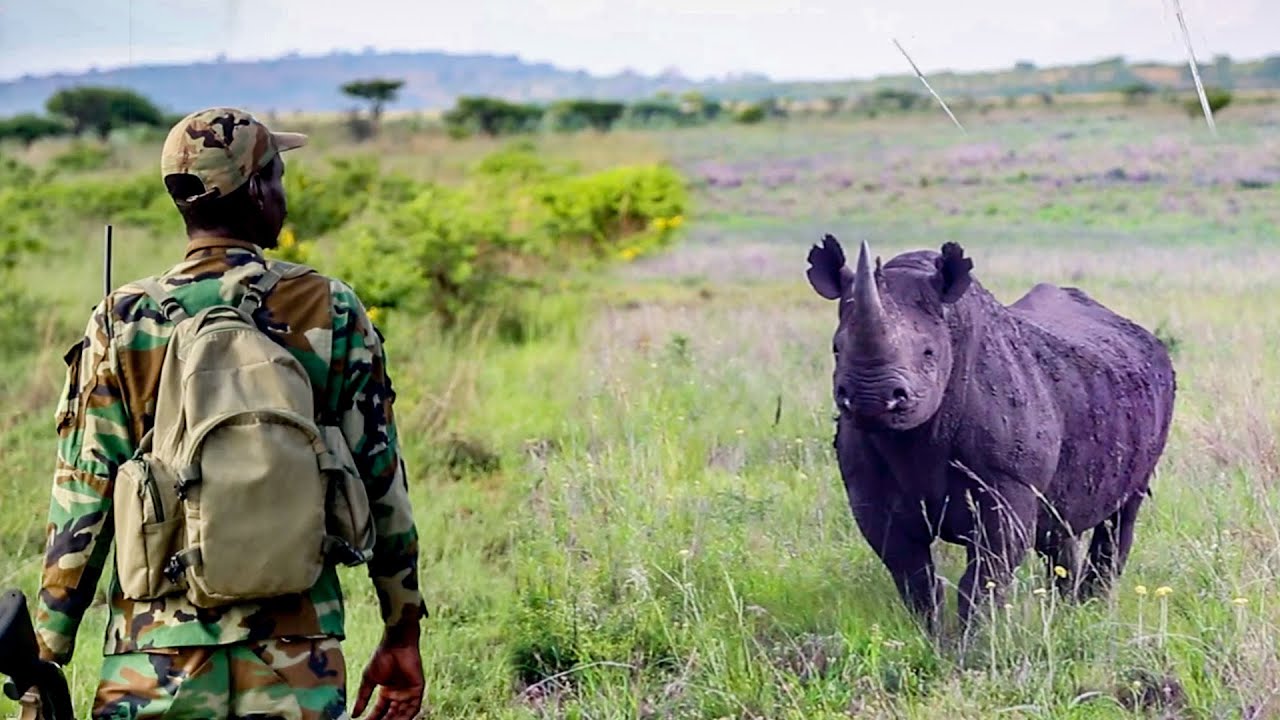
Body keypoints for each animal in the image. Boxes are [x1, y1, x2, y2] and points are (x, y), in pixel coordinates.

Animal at [805, 234, 1175, 631]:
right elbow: (912, 573)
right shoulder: (868, 487)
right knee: (1056, 523)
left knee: (1123, 511)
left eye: (929, 352)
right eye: (836, 348)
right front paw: (931, 634)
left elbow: (986, 573)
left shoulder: (1007, 484)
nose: (872, 398)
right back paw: (1066, 609)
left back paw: (1091, 609)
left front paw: (974, 639)